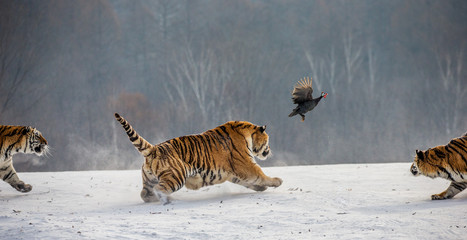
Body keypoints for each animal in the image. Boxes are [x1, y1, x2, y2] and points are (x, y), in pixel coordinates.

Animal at [114, 113, 282, 204]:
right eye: (268, 141)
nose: (269, 150)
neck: (247, 133)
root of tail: (154, 148)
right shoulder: (246, 166)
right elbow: (260, 174)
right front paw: (277, 181)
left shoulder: (234, 173)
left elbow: (250, 182)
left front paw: (261, 188)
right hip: (176, 176)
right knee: (160, 190)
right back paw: (168, 200)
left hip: (149, 179)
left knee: (144, 194)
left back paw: (154, 199)